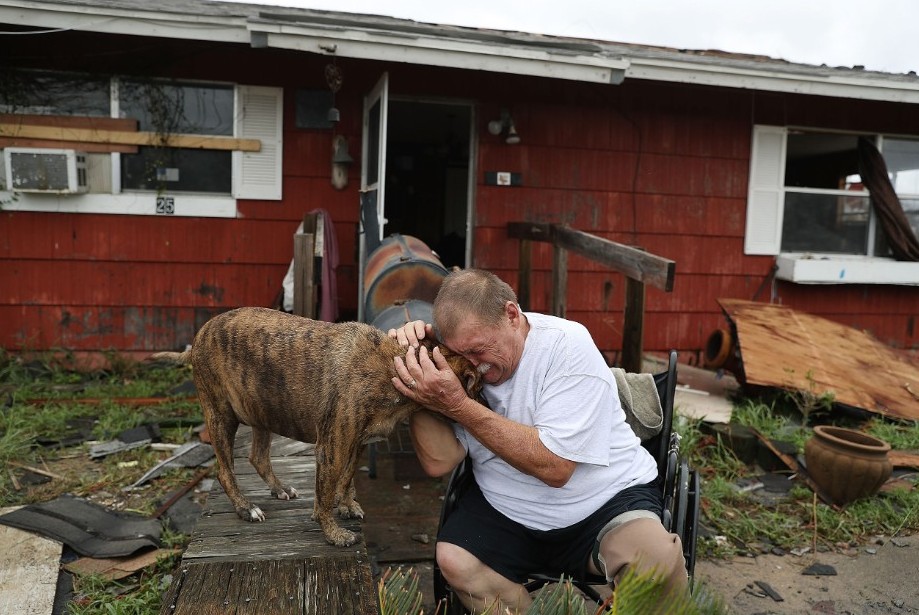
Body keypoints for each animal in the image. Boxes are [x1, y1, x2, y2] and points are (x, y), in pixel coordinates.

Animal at [151, 308, 482, 548]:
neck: (395, 364)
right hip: (221, 416)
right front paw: (333, 533)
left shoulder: (356, 443)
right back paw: (246, 508)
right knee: (224, 470)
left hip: (261, 409)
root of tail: (199, 336)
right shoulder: (332, 449)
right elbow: (324, 493)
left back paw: (279, 489)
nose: (485, 406)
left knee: (258, 457)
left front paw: (346, 505)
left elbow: (345, 479)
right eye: (477, 386)